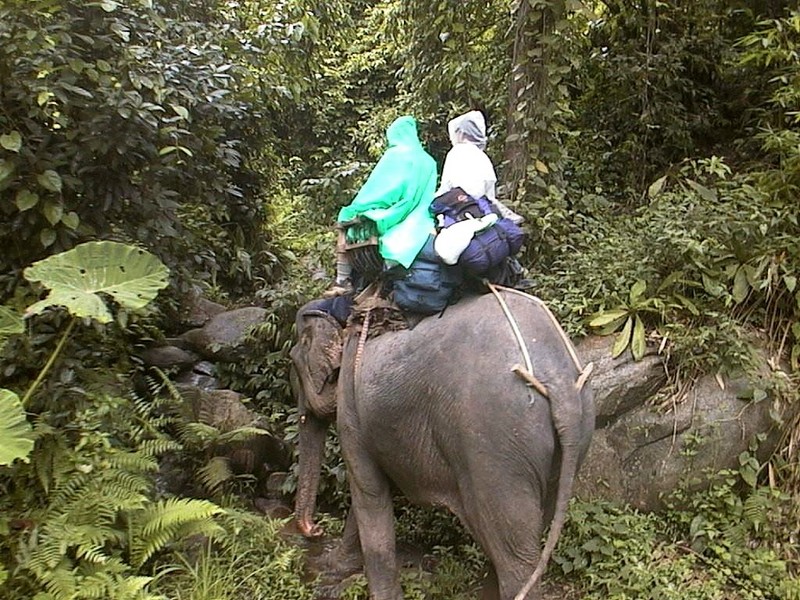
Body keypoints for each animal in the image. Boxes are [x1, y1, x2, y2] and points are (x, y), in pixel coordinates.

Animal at [290, 288, 592, 596]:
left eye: (293, 361)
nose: (315, 529)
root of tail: (560, 385)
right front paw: (333, 567)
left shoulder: (352, 407)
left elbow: (368, 491)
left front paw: (334, 570)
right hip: (571, 437)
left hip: (497, 442)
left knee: (511, 550)